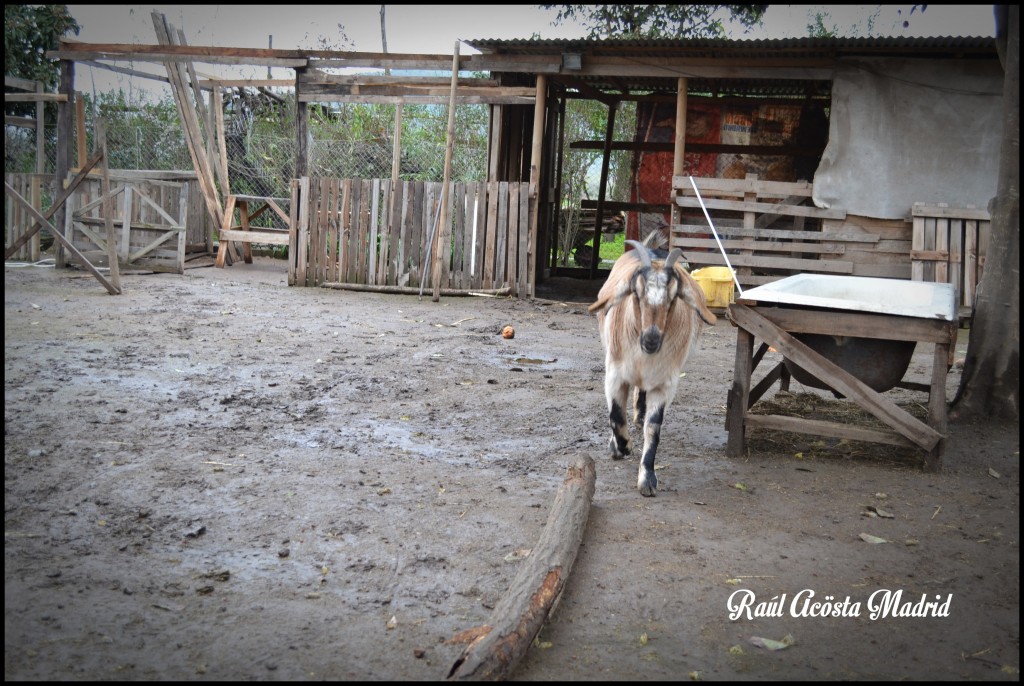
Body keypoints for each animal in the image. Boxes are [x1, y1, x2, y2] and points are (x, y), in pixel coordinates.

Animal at [589, 239, 716, 497]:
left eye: (673, 297)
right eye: (636, 294)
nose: (651, 339)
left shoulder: (665, 382)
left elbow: (653, 428)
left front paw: (647, 479)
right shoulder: (614, 373)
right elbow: (615, 415)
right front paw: (623, 447)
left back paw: (639, 415)